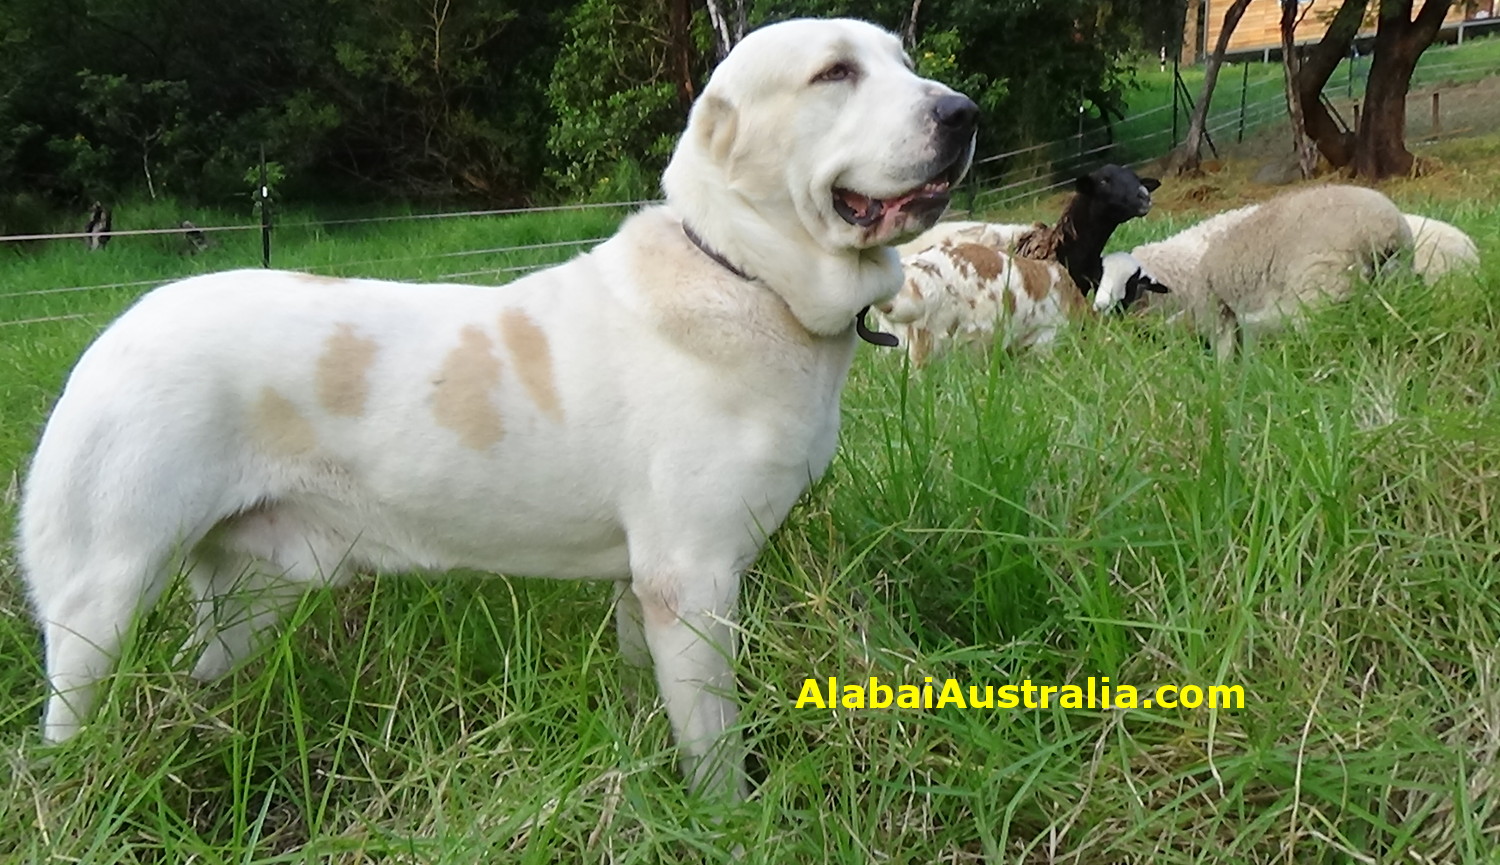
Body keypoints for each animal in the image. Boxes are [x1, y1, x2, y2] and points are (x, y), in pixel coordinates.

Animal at [17, 18, 978, 797]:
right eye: (833, 74)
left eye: (904, 61)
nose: (963, 113)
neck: (745, 273)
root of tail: (115, 332)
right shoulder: (693, 582)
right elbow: (715, 754)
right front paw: (727, 822)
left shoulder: (643, 589)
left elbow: (643, 694)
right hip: (99, 602)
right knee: (65, 717)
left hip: (249, 598)